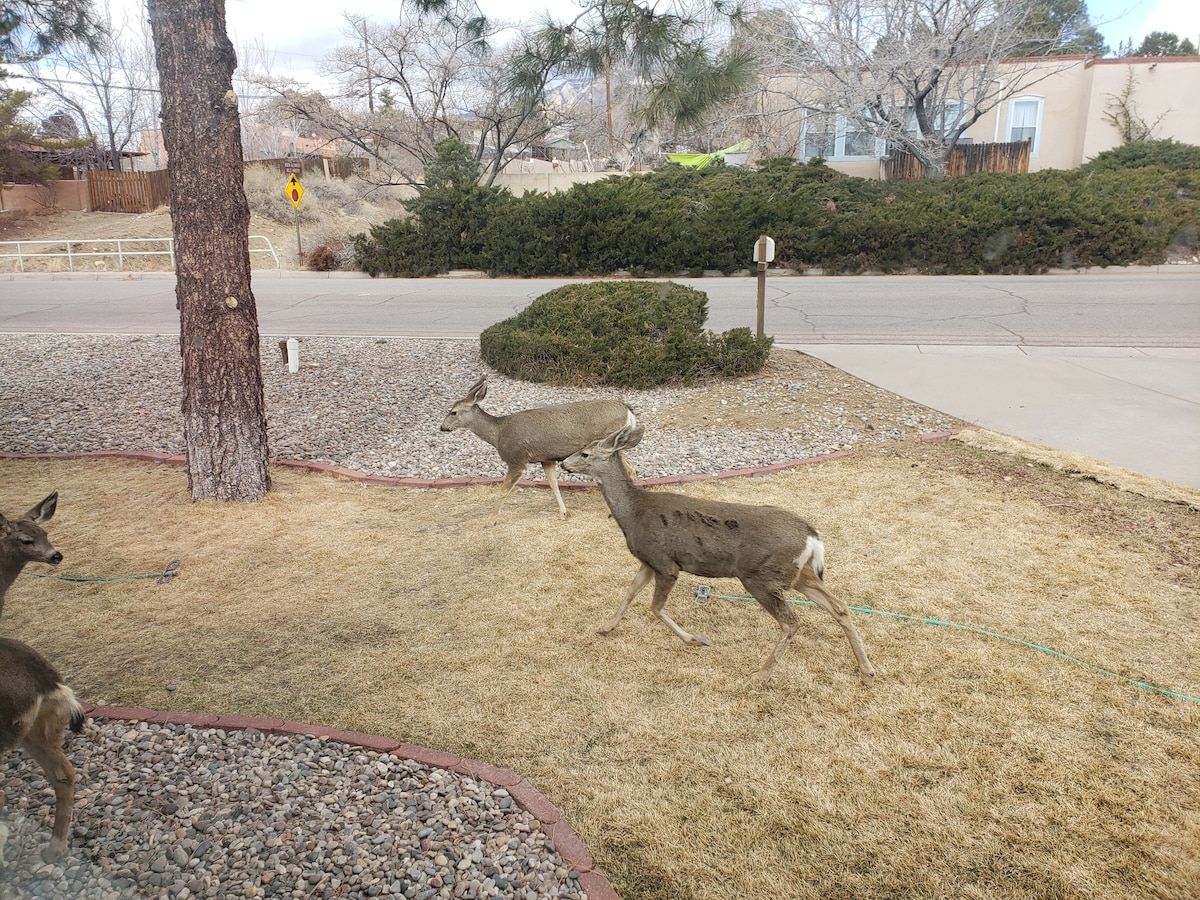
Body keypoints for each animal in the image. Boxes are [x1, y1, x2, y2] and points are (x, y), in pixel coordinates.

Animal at [441, 374, 638, 528]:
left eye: (453, 412)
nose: (442, 427)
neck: (498, 434)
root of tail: (628, 410)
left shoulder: (518, 459)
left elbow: (504, 490)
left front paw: (490, 521)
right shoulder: (546, 458)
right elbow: (553, 484)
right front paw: (563, 514)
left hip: (608, 444)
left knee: (628, 469)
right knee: (631, 469)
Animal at [556, 427, 878, 686]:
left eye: (584, 453)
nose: (562, 463)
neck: (633, 514)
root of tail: (811, 536)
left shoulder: (665, 562)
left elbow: (655, 608)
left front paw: (696, 640)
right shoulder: (648, 560)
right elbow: (630, 593)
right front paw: (606, 627)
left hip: (760, 577)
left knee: (792, 622)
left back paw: (761, 674)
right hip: (797, 574)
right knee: (840, 606)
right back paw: (867, 671)